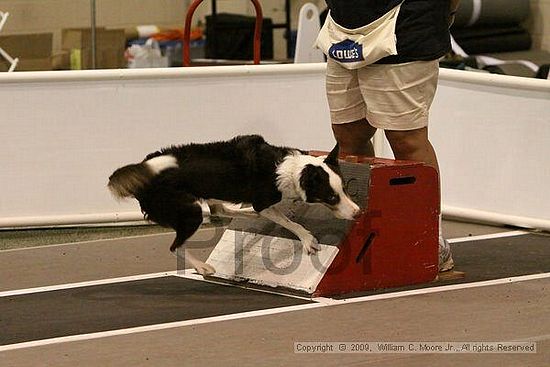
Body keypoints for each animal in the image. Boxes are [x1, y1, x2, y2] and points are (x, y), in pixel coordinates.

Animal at [110, 135, 364, 276]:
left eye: (345, 189)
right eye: (331, 197)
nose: (358, 213)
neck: (288, 169)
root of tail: (142, 172)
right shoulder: (264, 201)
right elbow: (290, 223)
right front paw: (308, 240)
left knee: (218, 210)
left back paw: (247, 213)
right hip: (190, 212)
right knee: (177, 245)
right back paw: (202, 267)